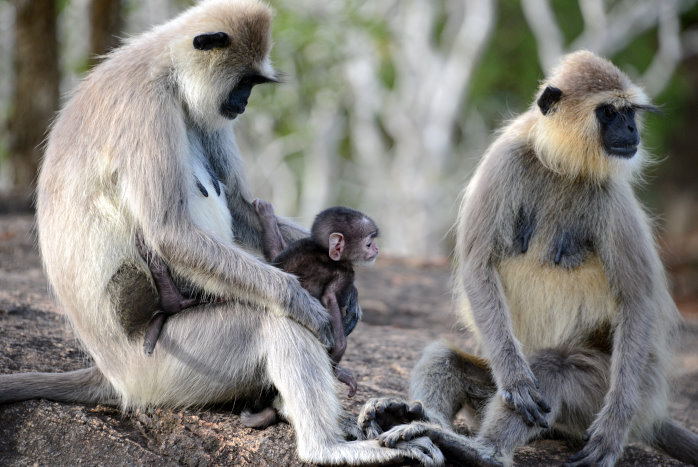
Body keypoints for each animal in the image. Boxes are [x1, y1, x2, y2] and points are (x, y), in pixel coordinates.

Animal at [253, 201, 378, 394]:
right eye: (369, 244)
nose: (376, 249)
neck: (323, 251)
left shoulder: (297, 247)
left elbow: (276, 257)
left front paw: (267, 216)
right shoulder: (344, 272)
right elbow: (329, 299)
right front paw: (337, 372)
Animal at [358, 49, 696, 466]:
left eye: (629, 112)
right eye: (609, 113)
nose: (632, 130)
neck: (560, 163)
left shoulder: (612, 194)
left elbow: (637, 300)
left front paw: (613, 428)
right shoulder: (504, 158)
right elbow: (477, 265)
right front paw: (516, 381)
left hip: (596, 393)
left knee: (556, 368)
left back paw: (477, 451)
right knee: (445, 357)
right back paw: (416, 417)